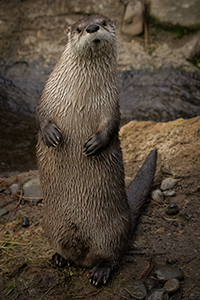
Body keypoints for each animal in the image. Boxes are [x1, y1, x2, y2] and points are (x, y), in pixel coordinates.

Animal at [36, 15, 158, 288]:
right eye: (80, 28)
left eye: (102, 22)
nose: (92, 28)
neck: (79, 96)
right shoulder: (49, 92)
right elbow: (39, 113)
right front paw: (50, 134)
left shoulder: (111, 103)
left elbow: (111, 126)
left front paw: (95, 144)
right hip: (50, 224)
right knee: (65, 249)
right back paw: (60, 258)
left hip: (111, 231)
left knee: (112, 256)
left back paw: (100, 272)